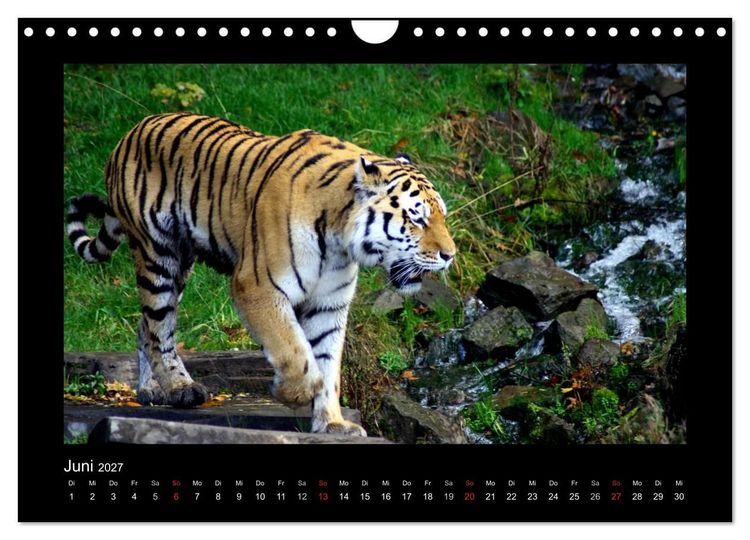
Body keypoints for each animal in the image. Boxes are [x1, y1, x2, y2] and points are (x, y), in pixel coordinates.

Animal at [66, 112, 456, 437]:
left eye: (442, 216)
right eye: (417, 218)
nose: (450, 255)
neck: (339, 239)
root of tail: (131, 131)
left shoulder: (329, 304)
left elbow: (328, 364)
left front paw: (332, 423)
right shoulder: (258, 286)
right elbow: (295, 352)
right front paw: (291, 392)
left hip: (180, 264)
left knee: (145, 324)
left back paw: (150, 389)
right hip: (158, 253)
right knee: (159, 327)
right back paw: (179, 388)